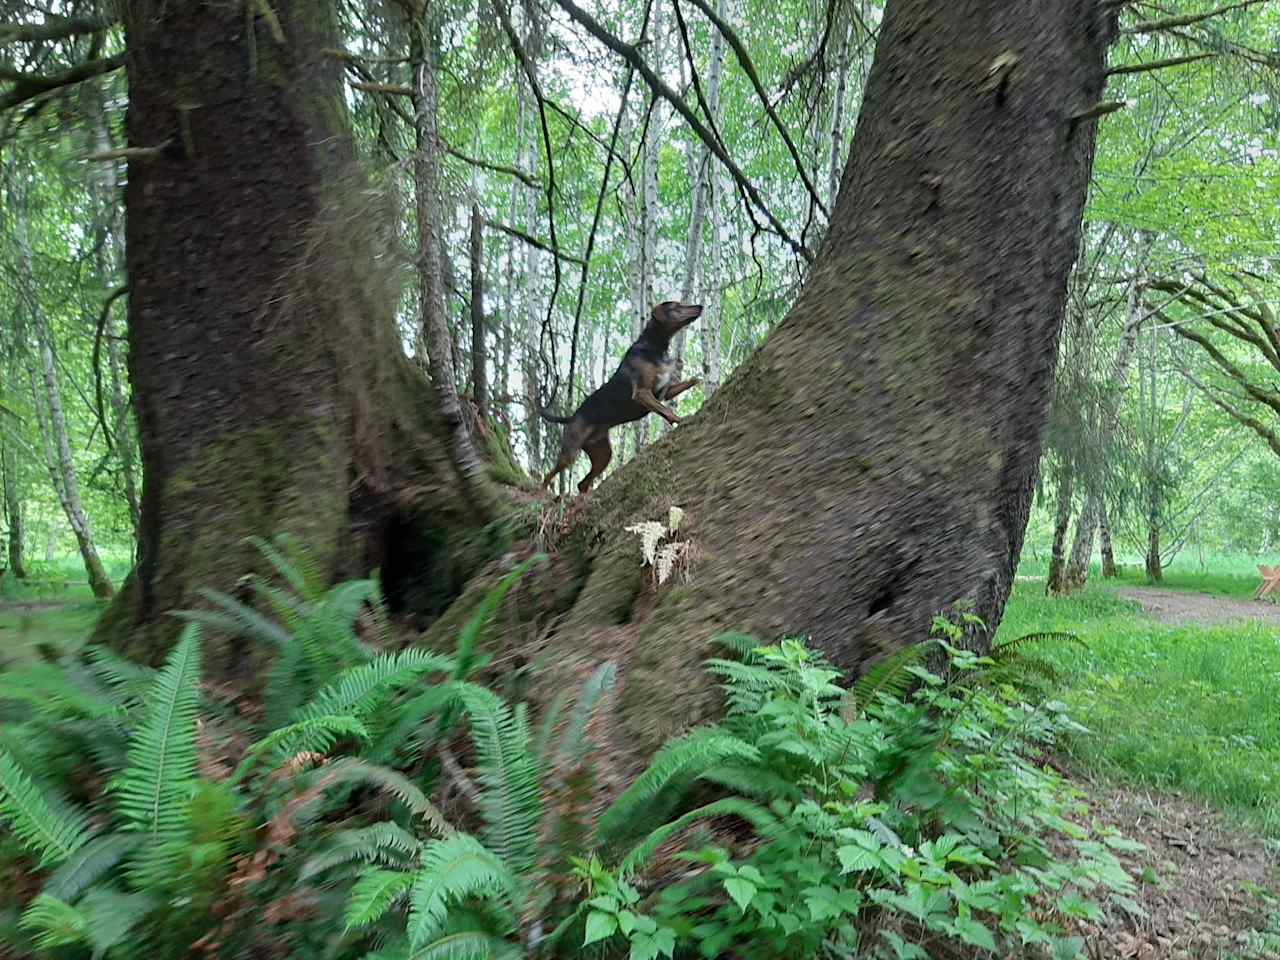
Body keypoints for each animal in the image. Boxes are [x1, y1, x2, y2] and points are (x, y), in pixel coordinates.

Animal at [537, 300, 706, 496]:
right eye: (676, 306)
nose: (701, 307)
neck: (654, 345)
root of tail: (571, 417)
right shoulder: (642, 392)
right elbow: (666, 409)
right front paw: (679, 419)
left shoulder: (664, 391)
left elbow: (691, 381)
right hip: (571, 451)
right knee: (548, 475)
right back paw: (542, 493)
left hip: (603, 454)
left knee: (582, 483)